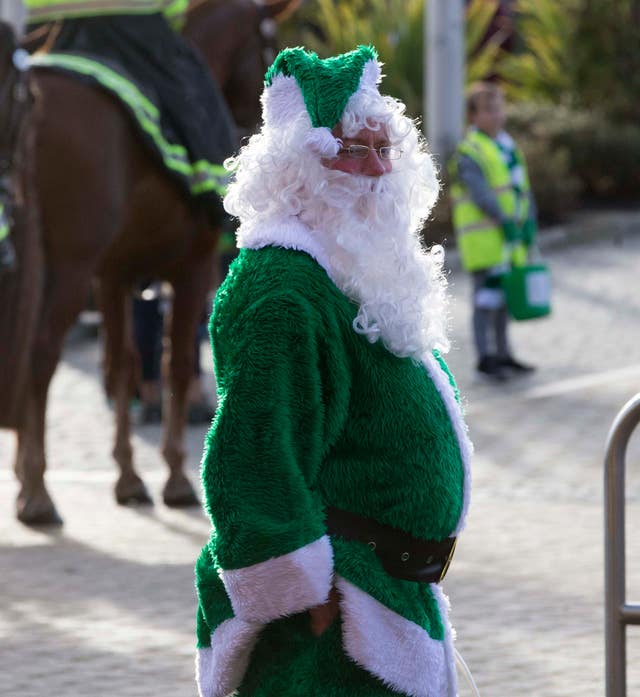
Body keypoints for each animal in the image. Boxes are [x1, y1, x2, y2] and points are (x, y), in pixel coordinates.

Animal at [0, 0, 300, 520]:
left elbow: (122, 364)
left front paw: (128, 475)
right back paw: (36, 490)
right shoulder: (193, 268)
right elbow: (174, 362)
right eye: (269, 49)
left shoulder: (114, 274)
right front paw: (177, 475)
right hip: (69, 268)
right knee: (40, 353)